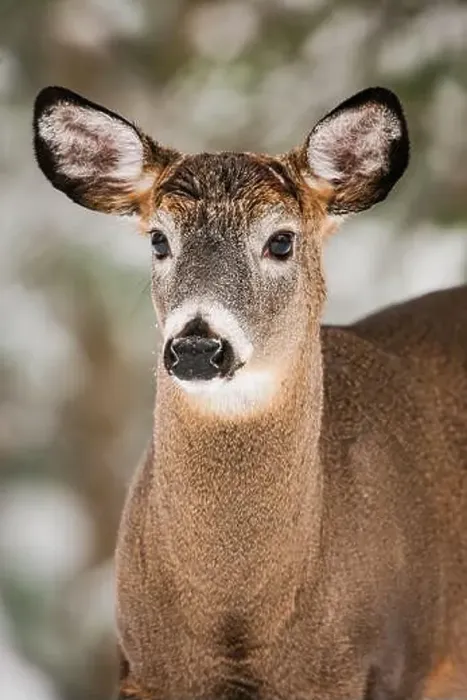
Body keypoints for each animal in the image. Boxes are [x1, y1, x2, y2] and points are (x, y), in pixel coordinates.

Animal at [33, 84, 467, 700]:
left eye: (281, 241)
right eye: (159, 240)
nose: (196, 345)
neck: (238, 618)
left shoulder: (391, 668)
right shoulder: (144, 669)